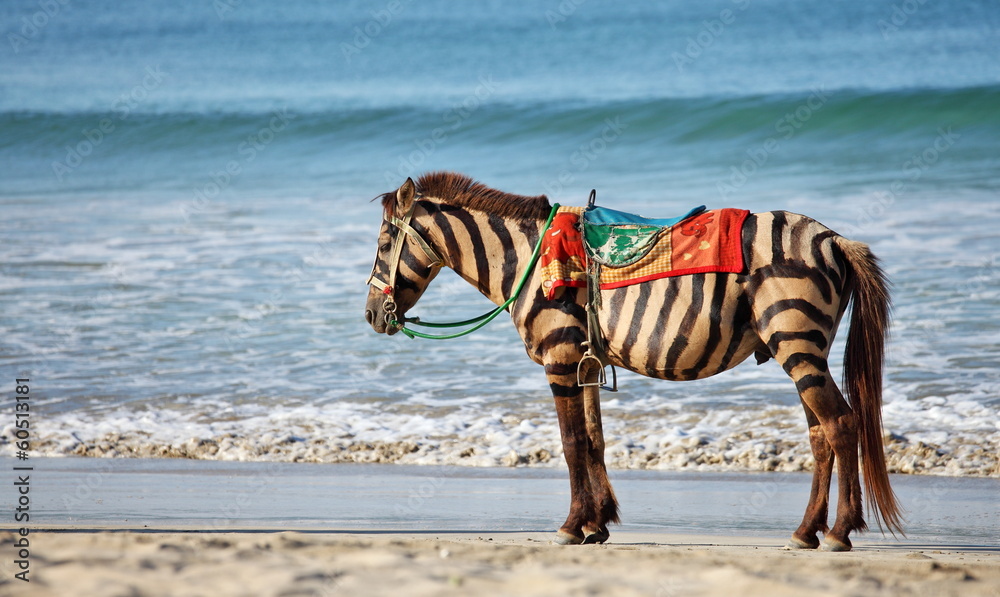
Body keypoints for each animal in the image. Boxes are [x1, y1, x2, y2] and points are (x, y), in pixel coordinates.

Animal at [364, 171, 902, 550]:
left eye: (385, 242)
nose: (371, 315)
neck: (529, 261)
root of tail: (832, 239)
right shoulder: (586, 363)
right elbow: (594, 442)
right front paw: (598, 524)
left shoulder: (560, 359)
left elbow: (570, 443)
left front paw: (571, 527)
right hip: (805, 348)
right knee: (821, 436)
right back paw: (806, 531)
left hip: (796, 342)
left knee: (840, 425)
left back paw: (839, 533)